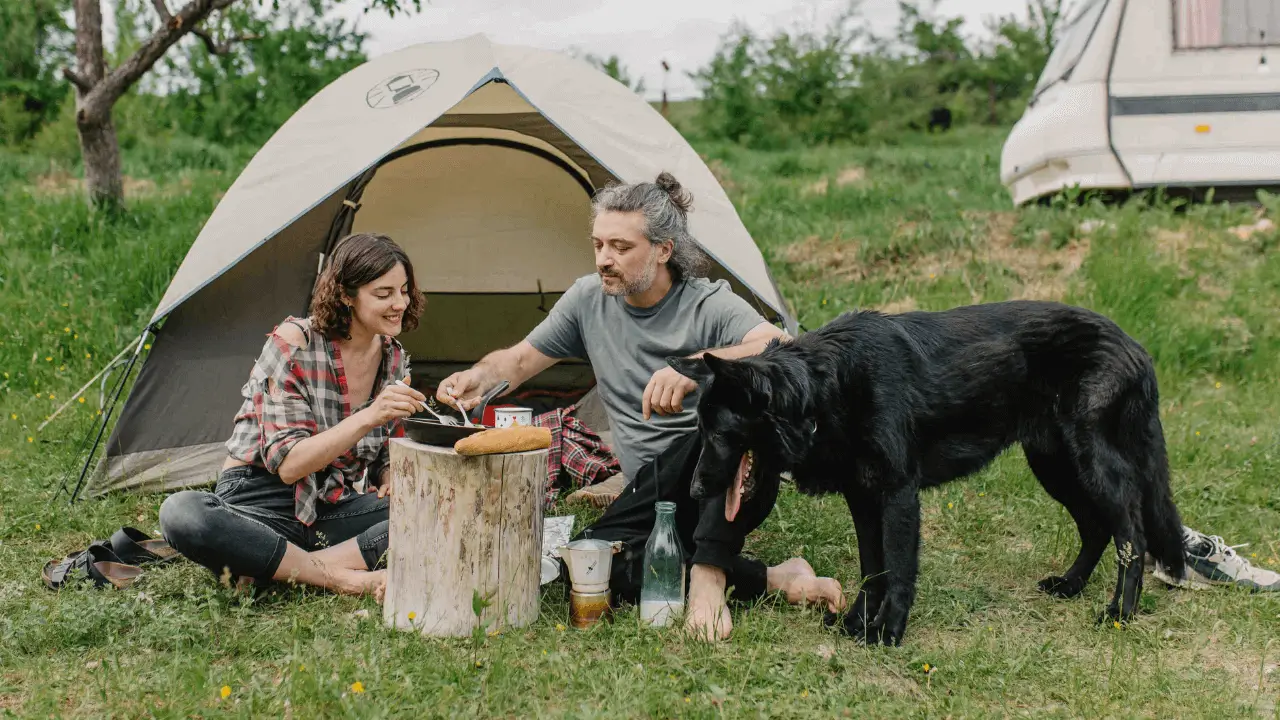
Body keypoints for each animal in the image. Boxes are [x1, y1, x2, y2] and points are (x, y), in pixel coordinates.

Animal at [670, 299, 1187, 640]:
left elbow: (898, 569)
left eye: (719, 434)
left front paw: (888, 632)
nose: (693, 492)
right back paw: (1071, 586)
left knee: (1131, 534)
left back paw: (1120, 612)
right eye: (701, 429)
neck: (823, 390)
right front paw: (858, 623)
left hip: (1090, 466)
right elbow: (872, 568)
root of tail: (1135, 346)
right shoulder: (863, 498)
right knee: (1096, 528)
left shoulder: (899, 493)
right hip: (1054, 466)